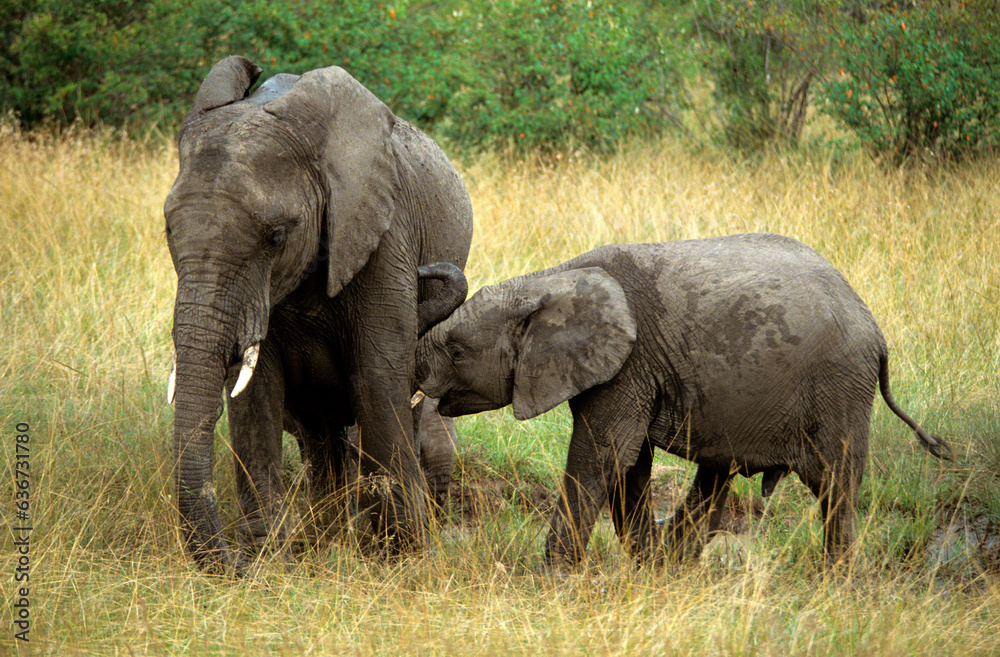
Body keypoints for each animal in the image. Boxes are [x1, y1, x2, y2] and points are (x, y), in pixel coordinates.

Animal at [163, 55, 472, 568]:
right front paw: (270, 554)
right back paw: (326, 535)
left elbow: (377, 379)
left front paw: (404, 558)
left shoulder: (381, 235)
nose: (233, 564)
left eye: (275, 237)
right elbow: (254, 393)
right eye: (168, 232)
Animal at [416, 233, 952, 568]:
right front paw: (645, 567)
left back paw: (836, 582)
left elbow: (603, 455)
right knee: (720, 473)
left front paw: (552, 577)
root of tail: (875, 331)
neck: (551, 279)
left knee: (835, 483)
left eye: (457, 350)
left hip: (840, 385)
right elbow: (630, 463)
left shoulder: (627, 365)